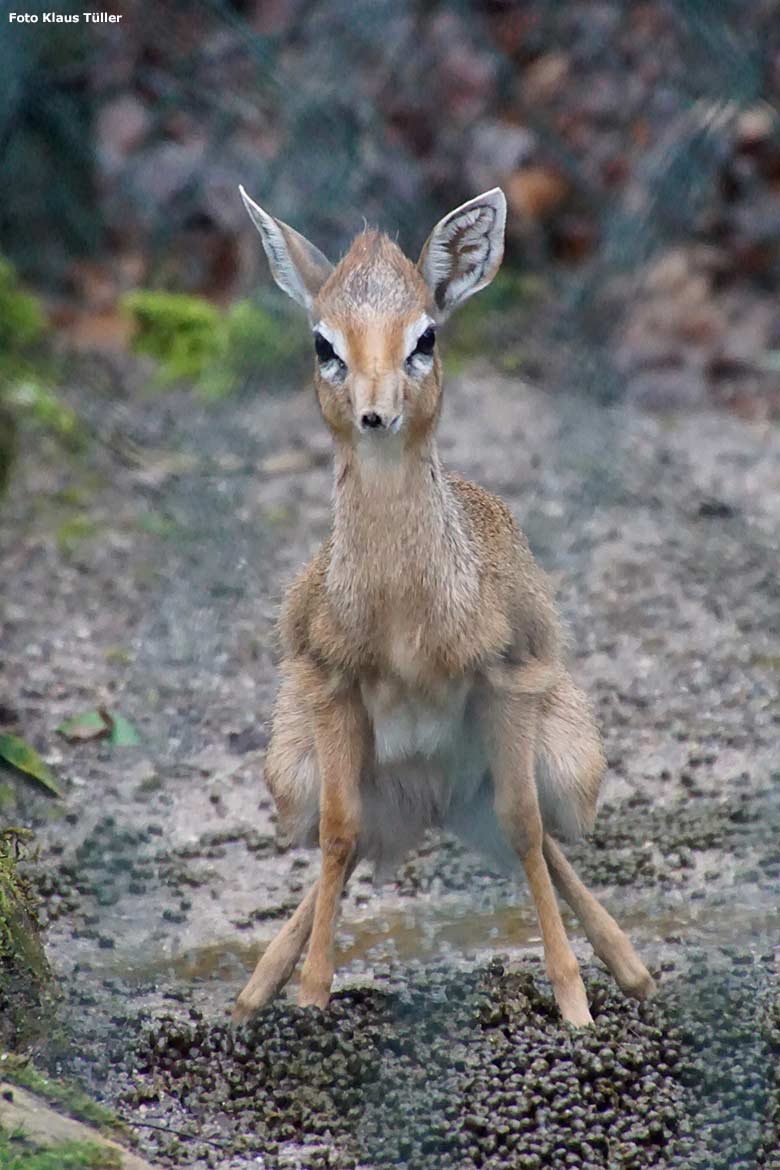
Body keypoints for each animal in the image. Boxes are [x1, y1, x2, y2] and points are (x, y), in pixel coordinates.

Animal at [235, 182, 654, 1024]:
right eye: (324, 345)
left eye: (424, 335)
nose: (375, 411)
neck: (403, 617)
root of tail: (432, 806)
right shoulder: (331, 685)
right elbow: (335, 835)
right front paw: (310, 996)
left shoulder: (507, 681)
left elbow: (526, 829)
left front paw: (574, 1003)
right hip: (295, 772)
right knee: (352, 839)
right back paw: (253, 991)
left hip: (566, 765)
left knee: (541, 834)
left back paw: (631, 971)